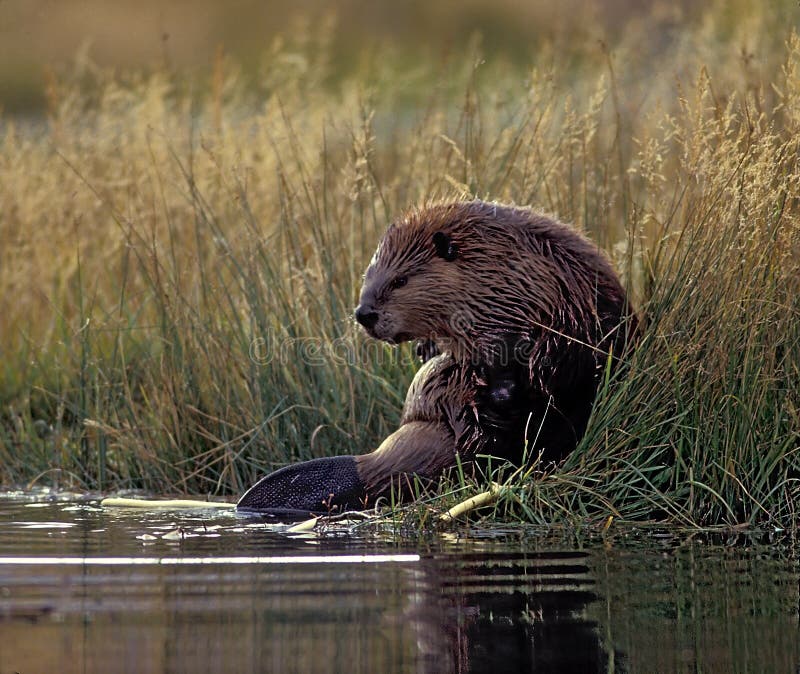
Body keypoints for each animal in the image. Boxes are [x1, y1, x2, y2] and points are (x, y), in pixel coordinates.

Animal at [234, 197, 636, 512]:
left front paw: (504, 388)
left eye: (400, 280)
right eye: (368, 275)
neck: (502, 271)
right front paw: (434, 353)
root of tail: (366, 468)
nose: (364, 313)